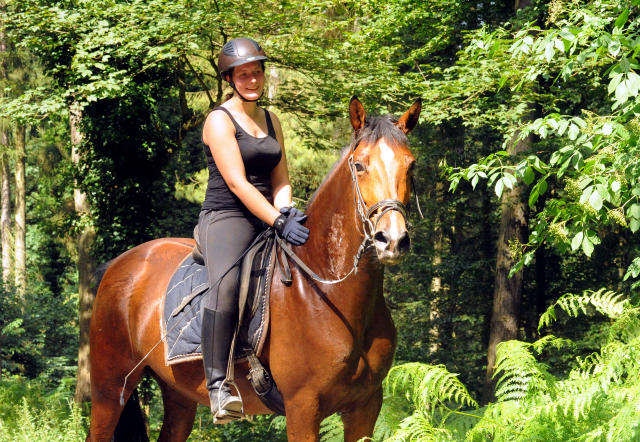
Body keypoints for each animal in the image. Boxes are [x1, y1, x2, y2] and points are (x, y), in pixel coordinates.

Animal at [87, 95, 422, 440]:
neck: (326, 291)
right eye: (359, 165)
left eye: (411, 165)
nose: (391, 239)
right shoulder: (303, 407)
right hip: (110, 388)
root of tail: (120, 263)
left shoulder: (365, 406)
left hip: (178, 394)